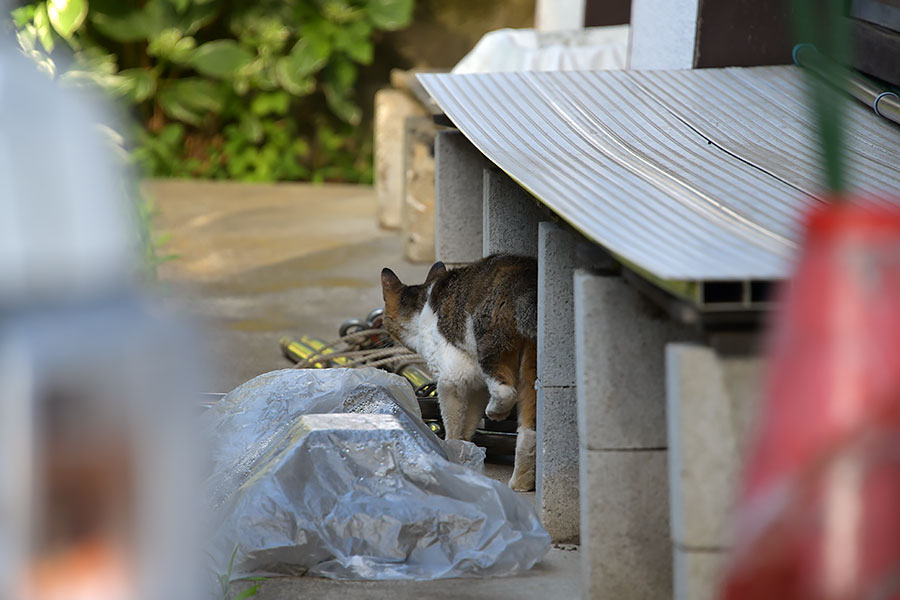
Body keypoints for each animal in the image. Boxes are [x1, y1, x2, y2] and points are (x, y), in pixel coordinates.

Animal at [378, 255, 536, 490]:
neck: (422, 308)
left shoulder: (451, 378)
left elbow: (452, 418)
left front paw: (451, 450)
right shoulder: (477, 386)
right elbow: (470, 418)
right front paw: (465, 447)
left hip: (491, 342)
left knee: (505, 391)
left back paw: (496, 412)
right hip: (531, 363)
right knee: (529, 427)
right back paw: (521, 481)